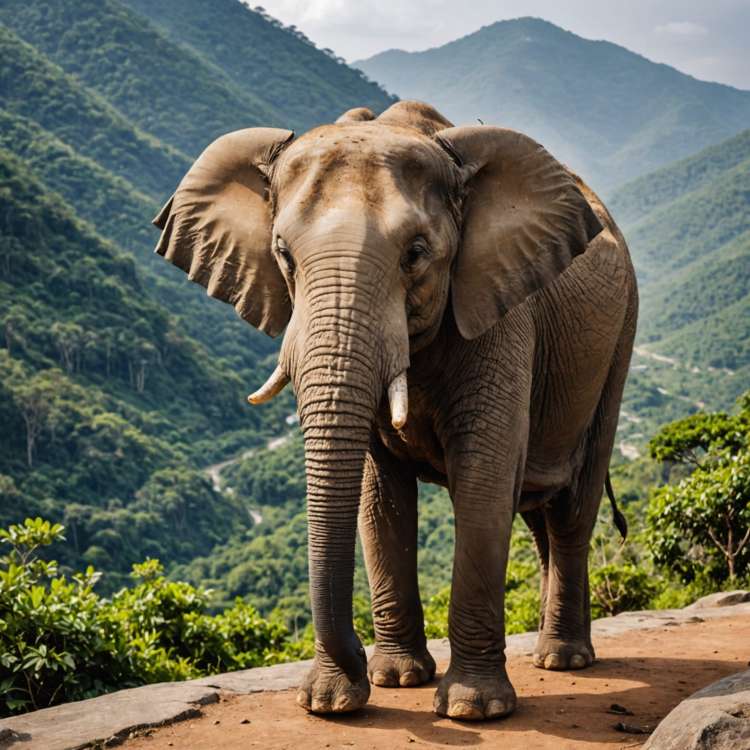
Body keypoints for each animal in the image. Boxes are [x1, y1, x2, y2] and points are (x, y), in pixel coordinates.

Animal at [152, 100, 637, 721]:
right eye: (283, 254)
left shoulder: (500, 311)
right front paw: (382, 684)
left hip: (618, 340)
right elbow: (378, 494)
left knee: (573, 503)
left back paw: (563, 660)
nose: (352, 669)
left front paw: (471, 709)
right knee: (539, 510)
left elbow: (484, 477)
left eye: (416, 253)